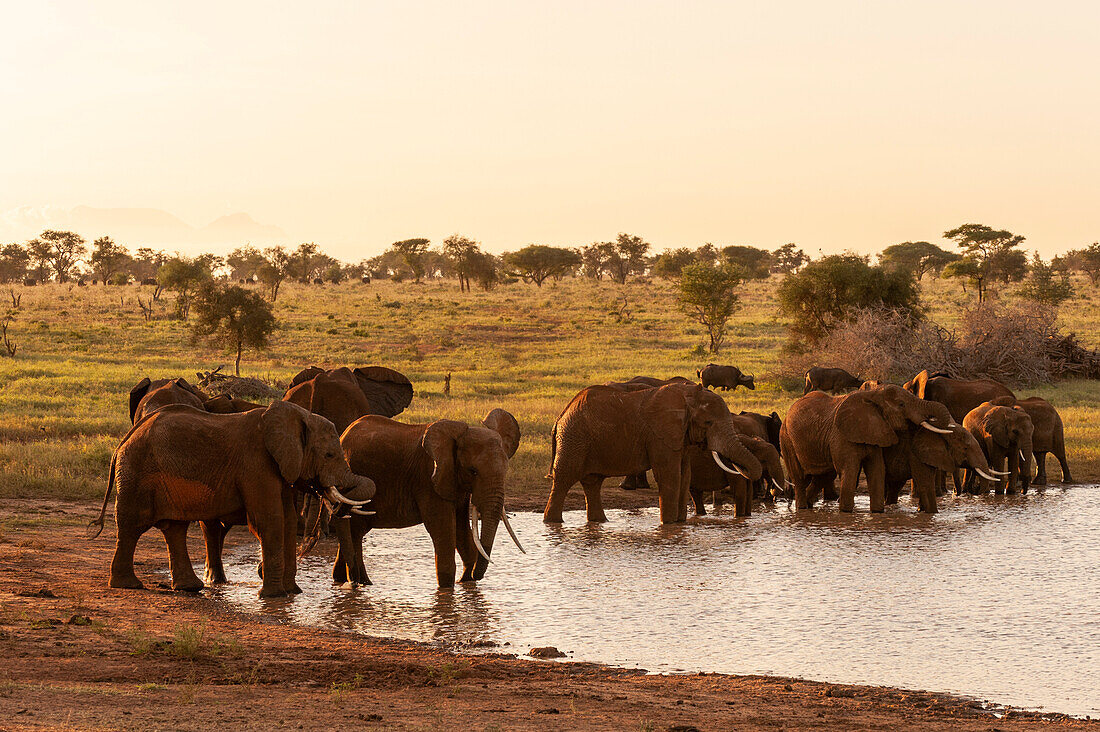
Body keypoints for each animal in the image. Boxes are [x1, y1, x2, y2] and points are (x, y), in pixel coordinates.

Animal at [90, 402, 374, 598]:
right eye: (329, 455)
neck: (295, 415)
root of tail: (124, 439)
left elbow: (288, 520)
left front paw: (292, 593)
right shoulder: (256, 463)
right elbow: (269, 520)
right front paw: (274, 596)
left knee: (174, 528)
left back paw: (189, 588)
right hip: (136, 471)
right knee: (131, 526)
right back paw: (128, 585)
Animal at [330, 407, 523, 585]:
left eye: (506, 470)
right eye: (473, 471)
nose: (476, 576)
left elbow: (461, 528)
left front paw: (467, 582)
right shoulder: (428, 478)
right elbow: (442, 528)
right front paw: (448, 588)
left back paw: (343, 580)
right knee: (355, 531)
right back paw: (361, 582)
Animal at [543, 378, 765, 521]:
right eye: (708, 422)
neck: (687, 397)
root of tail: (560, 416)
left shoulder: (680, 436)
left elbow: (684, 475)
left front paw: (679, 524)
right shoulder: (660, 435)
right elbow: (670, 476)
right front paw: (668, 525)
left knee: (592, 483)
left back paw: (599, 522)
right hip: (574, 438)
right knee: (564, 479)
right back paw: (552, 522)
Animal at [778, 385, 959, 510]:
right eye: (901, 404)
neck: (872, 394)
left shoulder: (875, 431)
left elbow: (877, 470)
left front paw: (877, 513)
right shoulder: (841, 435)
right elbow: (849, 471)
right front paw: (845, 513)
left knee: (823, 476)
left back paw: (808, 506)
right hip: (786, 438)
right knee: (800, 478)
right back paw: (802, 508)